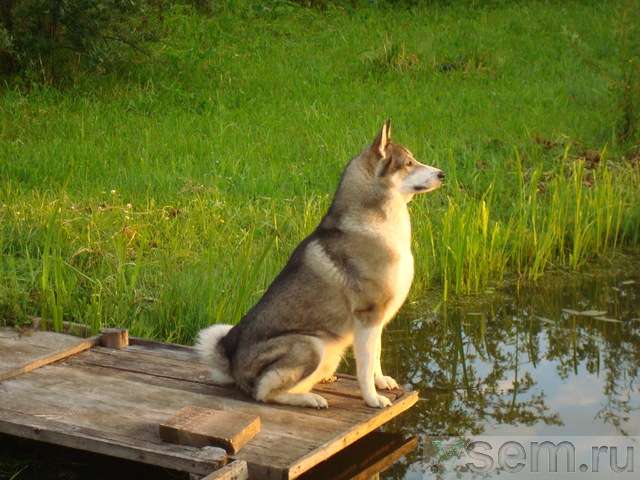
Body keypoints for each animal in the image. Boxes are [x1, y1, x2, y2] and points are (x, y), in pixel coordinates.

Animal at [198, 121, 442, 408]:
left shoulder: (377, 320)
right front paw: (372, 398)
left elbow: (377, 356)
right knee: (264, 392)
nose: (442, 174)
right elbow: (365, 367)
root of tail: (232, 360)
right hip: (311, 345)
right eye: (408, 163)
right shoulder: (367, 315)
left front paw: (382, 382)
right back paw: (310, 398)